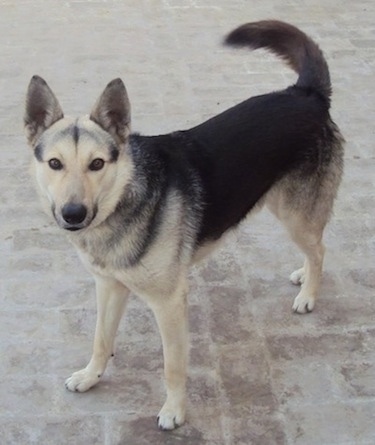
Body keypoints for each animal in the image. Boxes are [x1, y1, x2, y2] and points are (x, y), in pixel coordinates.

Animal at [25, 20, 346, 426]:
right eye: (55, 164)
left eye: (97, 164)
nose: (73, 214)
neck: (127, 198)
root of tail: (306, 94)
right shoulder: (109, 286)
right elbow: (101, 339)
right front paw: (90, 376)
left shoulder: (169, 303)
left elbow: (172, 366)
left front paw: (174, 411)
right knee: (314, 248)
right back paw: (304, 276)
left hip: (295, 216)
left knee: (320, 249)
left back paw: (308, 295)